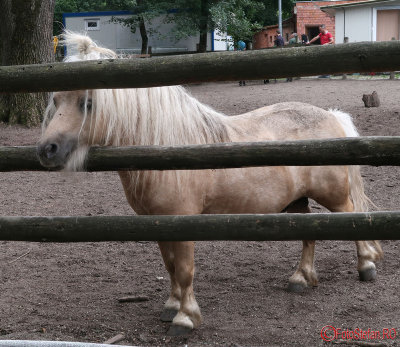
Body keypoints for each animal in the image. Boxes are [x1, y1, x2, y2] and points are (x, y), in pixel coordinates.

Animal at [36, 33, 382, 338]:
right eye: (56, 99)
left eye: (88, 102)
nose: (47, 149)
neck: (165, 151)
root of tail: (330, 115)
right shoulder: (157, 223)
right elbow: (170, 265)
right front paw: (171, 305)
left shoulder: (182, 222)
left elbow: (185, 269)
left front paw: (185, 318)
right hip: (296, 202)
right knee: (308, 233)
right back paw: (300, 278)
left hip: (334, 196)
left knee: (352, 219)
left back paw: (366, 266)